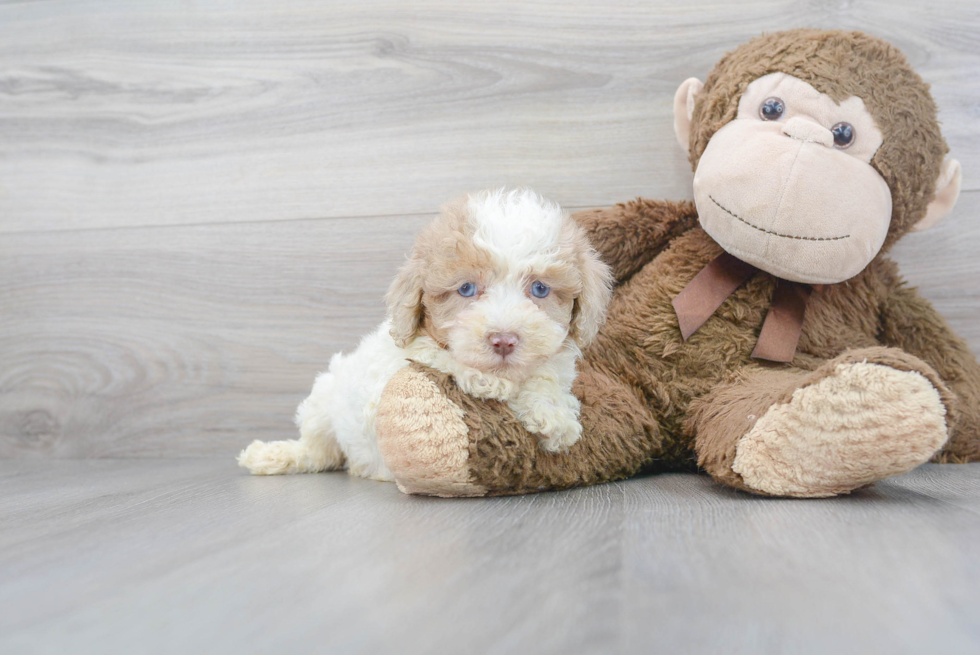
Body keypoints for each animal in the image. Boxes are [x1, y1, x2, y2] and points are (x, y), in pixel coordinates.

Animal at [236, 190, 608, 482]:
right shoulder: (398, 364)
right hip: (322, 402)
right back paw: (273, 455)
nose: (504, 340)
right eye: (466, 288)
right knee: (318, 449)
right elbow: (438, 356)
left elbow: (544, 378)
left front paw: (553, 416)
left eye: (540, 289)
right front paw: (486, 380)